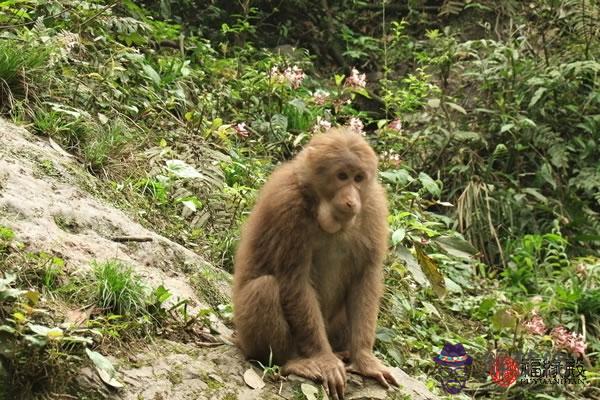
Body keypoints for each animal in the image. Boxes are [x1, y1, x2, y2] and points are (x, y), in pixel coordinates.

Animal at [234, 126, 398, 398]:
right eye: (342, 176)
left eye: (358, 178)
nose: (352, 200)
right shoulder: (286, 206)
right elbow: (295, 282)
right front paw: (324, 359)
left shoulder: (374, 207)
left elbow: (365, 278)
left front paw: (364, 358)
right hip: (246, 334)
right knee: (265, 288)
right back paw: (293, 360)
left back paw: (345, 352)